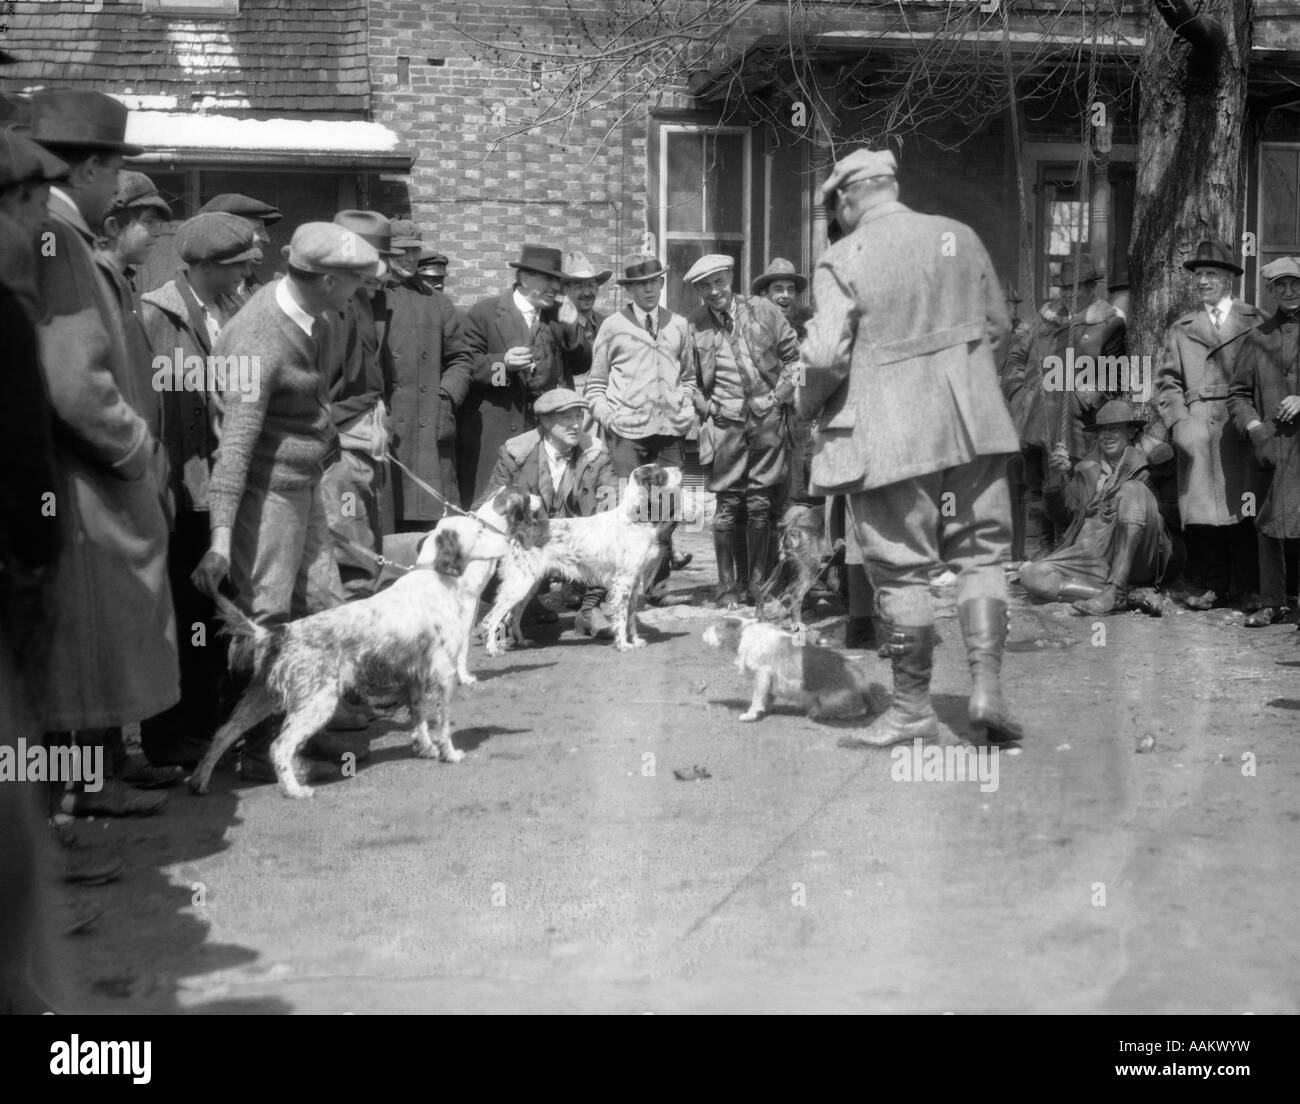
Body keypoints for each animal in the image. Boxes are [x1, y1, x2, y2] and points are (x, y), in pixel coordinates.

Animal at [188, 517, 512, 801]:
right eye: (480, 531)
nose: (510, 539)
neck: (437, 578)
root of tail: (276, 633)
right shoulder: (443, 673)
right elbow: (441, 724)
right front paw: (449, 753)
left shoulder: (415, 677)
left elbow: (420, 720)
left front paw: (426, 749)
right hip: (317, 703)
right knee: (279, 746)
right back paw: (294, 790)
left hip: (261, 699)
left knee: (223, 733)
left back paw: (199, 781)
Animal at [478, 457, 681, 650]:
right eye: (661, 473)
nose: (680, 468)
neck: (633, 519)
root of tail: (521, 529)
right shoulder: (623, 582)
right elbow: (622, 617)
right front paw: (623, 644)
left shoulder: (634, 582)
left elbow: (631, 617)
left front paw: (636, 641)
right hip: (519, 584)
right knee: (492, 617)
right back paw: (492, 649)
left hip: (529, 586)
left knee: (513, 616)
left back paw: (522, 641)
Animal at [707, 616, 889, 717]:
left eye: (716, 627)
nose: (704, 632)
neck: (745, 634)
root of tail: (863, 684)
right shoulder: (768, 682)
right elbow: (767, 697)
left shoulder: (762, 676)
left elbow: (757, 698)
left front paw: (751, 714)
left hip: (835, 701)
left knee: (854, 711)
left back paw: (817, 712)